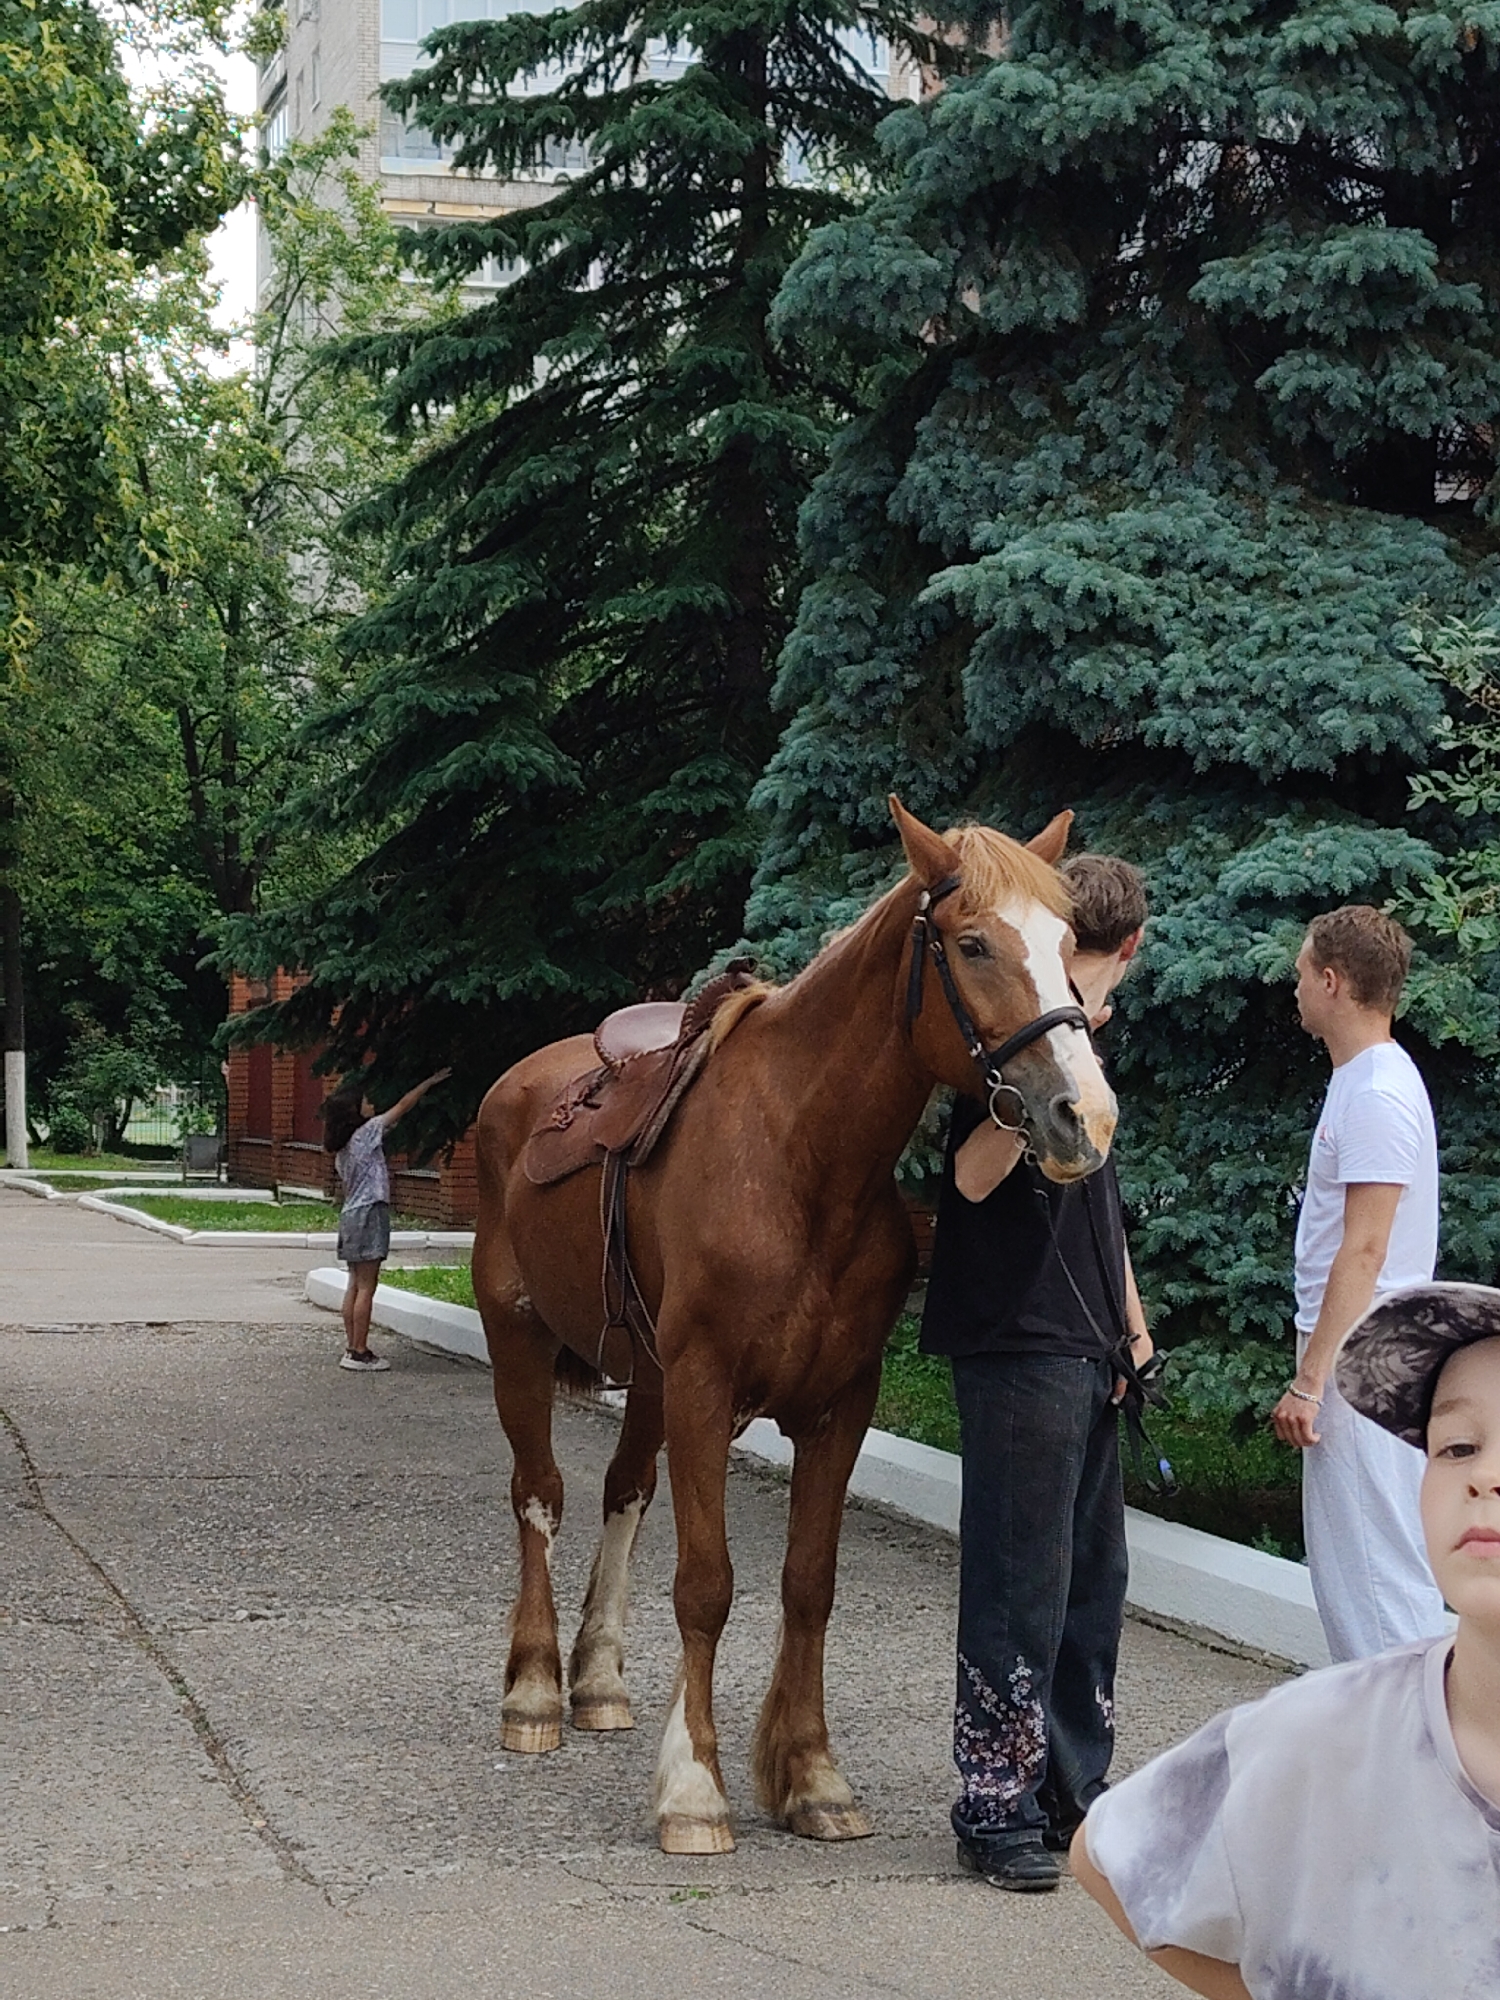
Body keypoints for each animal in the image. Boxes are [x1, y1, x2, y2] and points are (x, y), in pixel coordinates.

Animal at [471, 797, 1118, 1855]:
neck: (801, 1159)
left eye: (1069, 946)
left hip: (645, 1378)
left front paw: (811, 1775)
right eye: (973, 943)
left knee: (621, 1492)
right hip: (516, 1342)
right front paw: (695, 1787)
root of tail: (514, 1088)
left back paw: (597, 1679)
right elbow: (706, 1584)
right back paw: (532, 1690)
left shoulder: (839, 1403)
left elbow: (808, 1584)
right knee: (542, 1496)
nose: (1084, 1117)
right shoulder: (704, 1389)